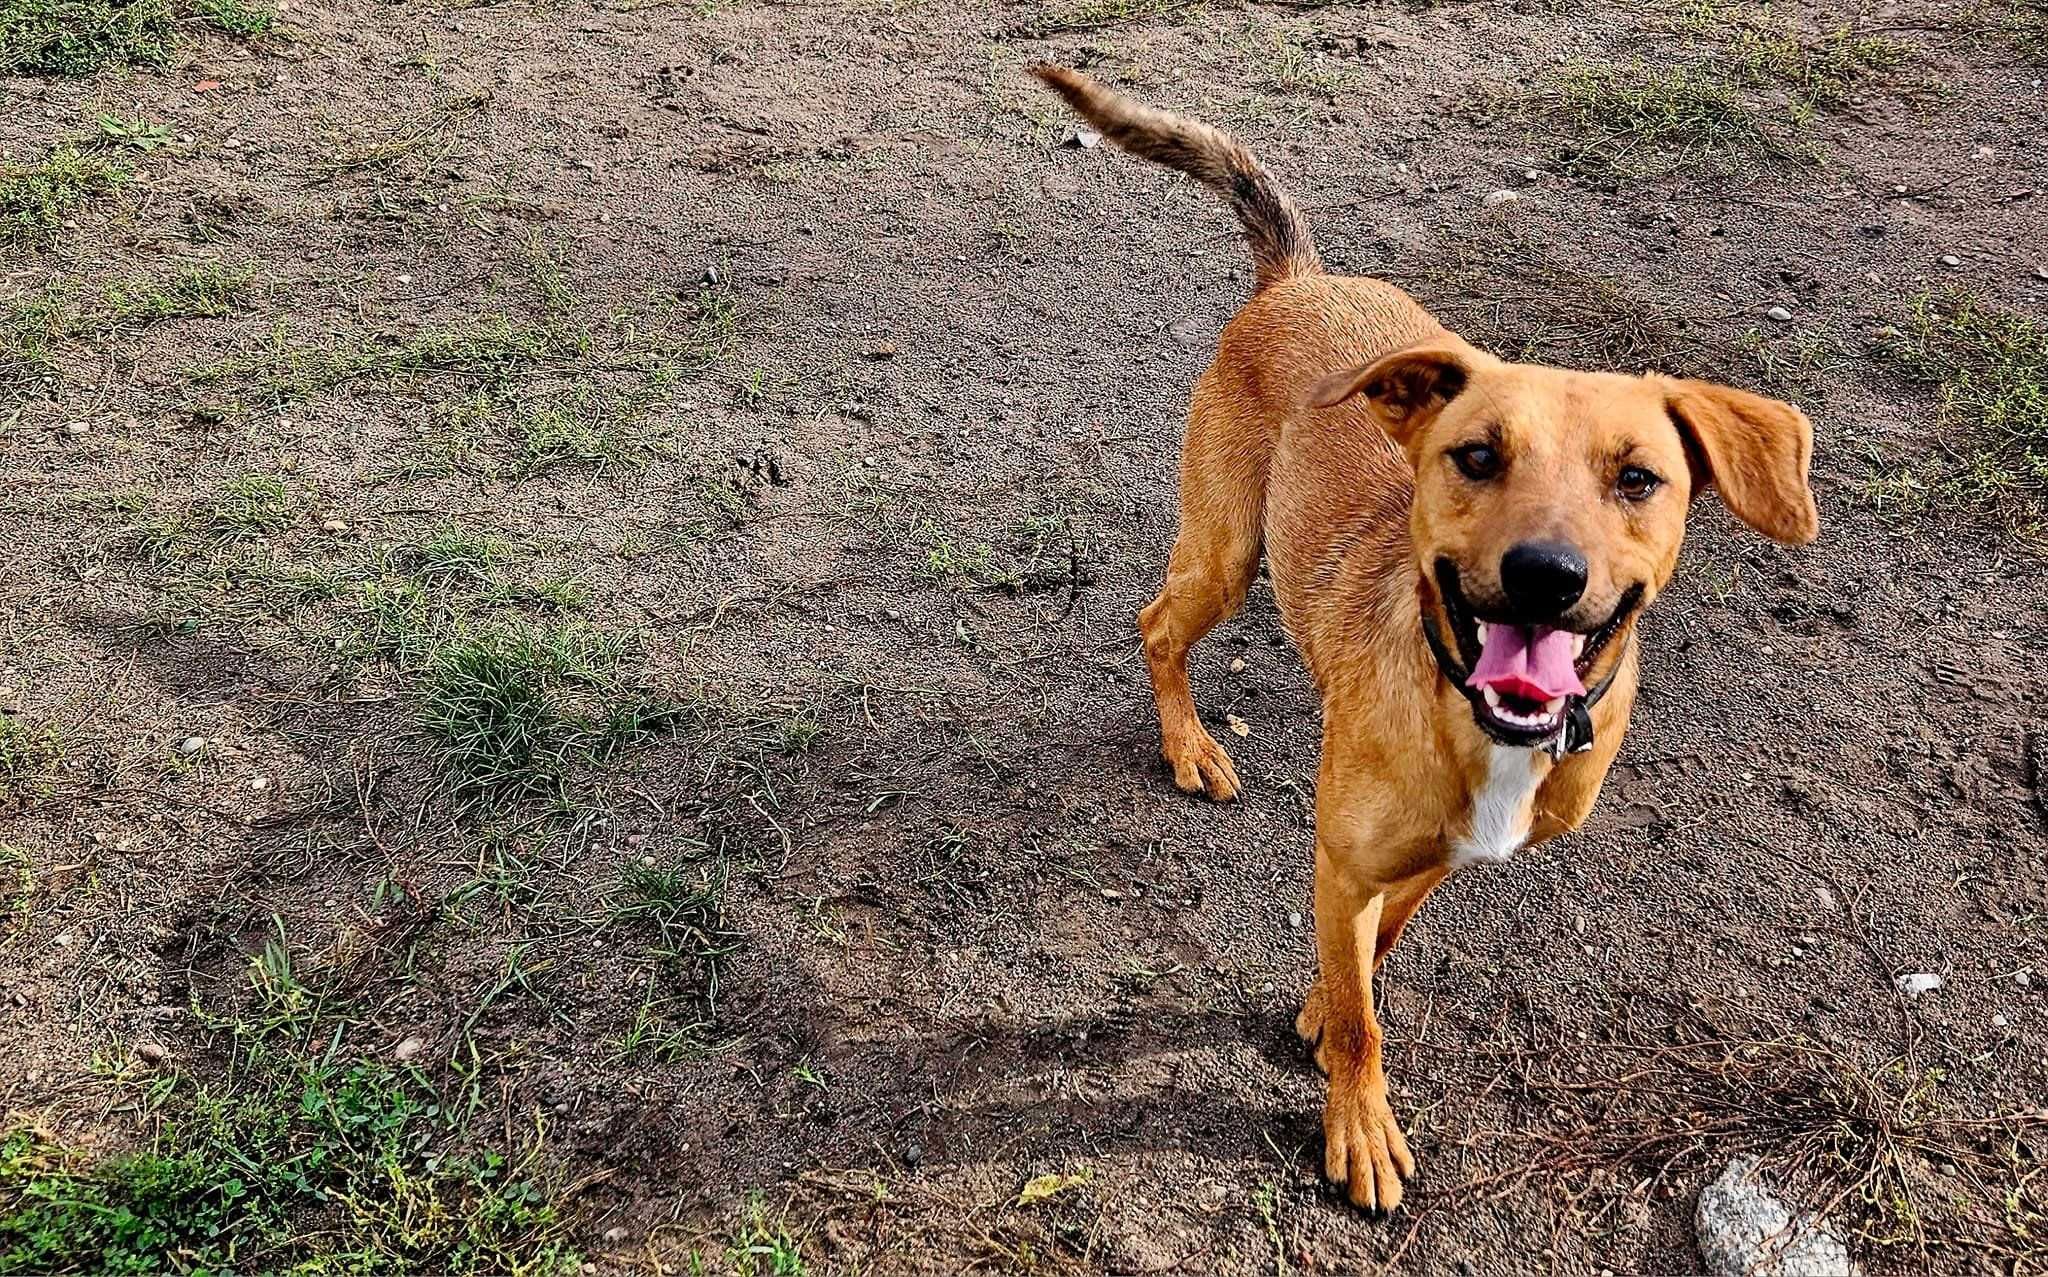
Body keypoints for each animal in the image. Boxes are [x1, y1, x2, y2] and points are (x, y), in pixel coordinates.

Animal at [1032, 64, 1818, 1211]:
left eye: (1637, 478)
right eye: (1475, 456)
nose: (1546, 575)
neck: (1475, 723)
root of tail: (1298, 278)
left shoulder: (1440, 857)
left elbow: (1386, 936)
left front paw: (1330, 996)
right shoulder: (1338, 856)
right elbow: (1365, 1020)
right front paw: (1356, 1116)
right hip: (1224, 549)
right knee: (1154, 626)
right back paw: (1188, 744)